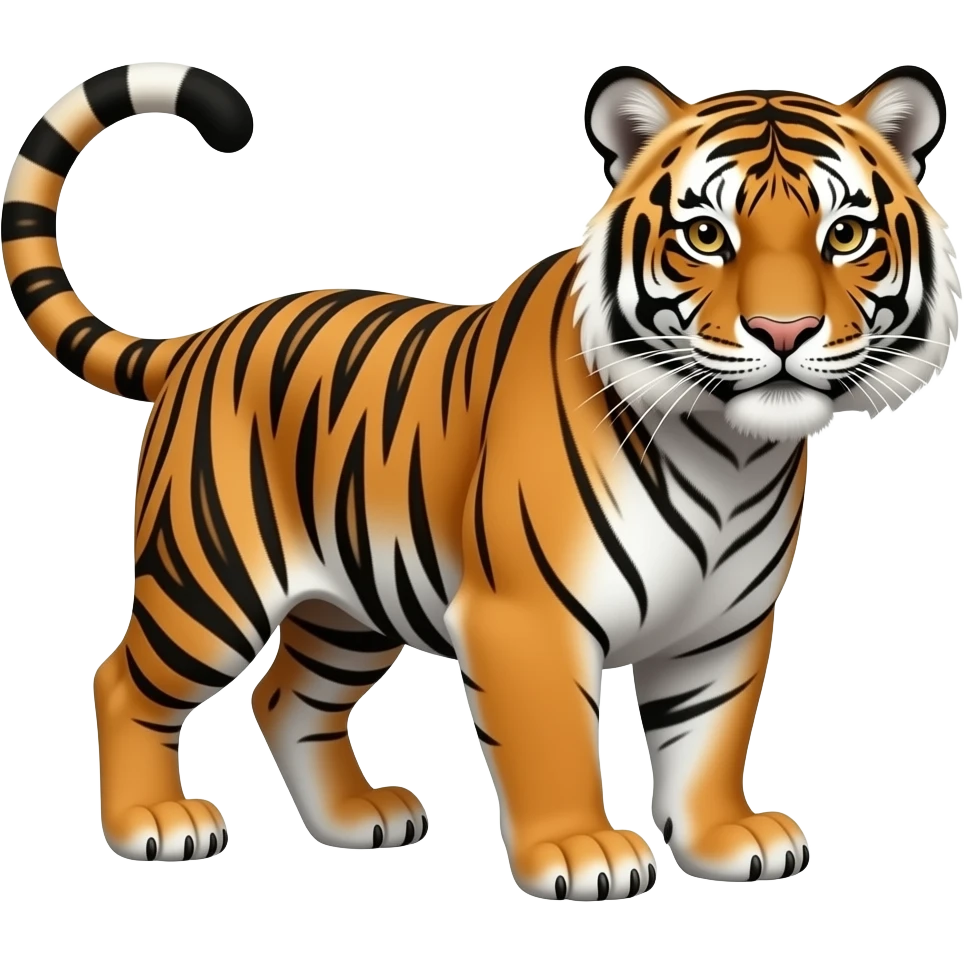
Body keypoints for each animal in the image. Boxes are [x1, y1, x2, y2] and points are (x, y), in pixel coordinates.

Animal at [3, 61, 958, 899]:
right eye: (705, 236)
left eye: (845, 235)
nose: (785, 330)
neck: (728, 450)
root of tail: (200, 339)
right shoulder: (526, 618)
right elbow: (555, 743)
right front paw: (581, 852)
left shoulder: (722, 623)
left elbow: (709, 735)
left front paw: (727, 839)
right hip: (210, 581)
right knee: (123, 681)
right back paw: (154, 824)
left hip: (351, 608)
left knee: (286, 698)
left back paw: (355, 819)